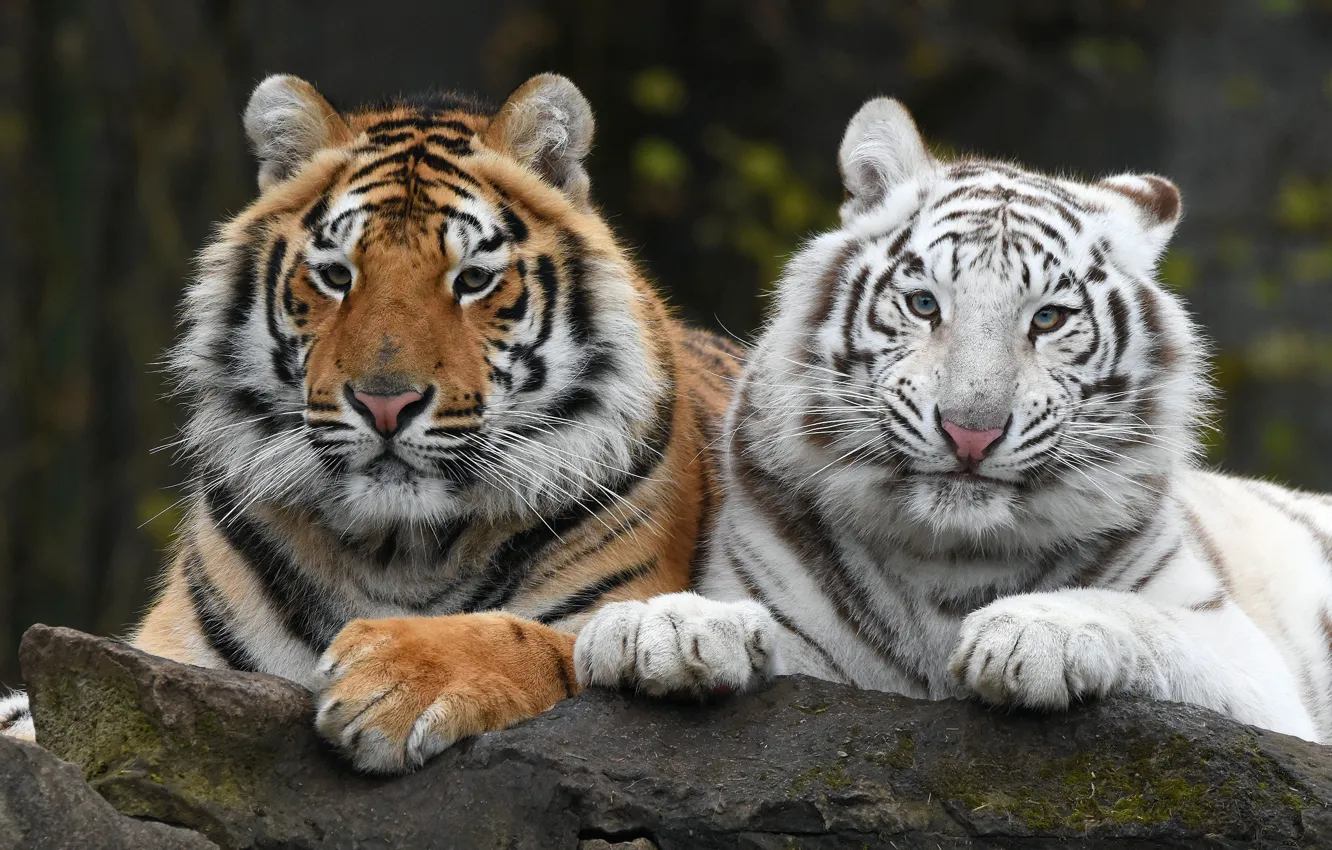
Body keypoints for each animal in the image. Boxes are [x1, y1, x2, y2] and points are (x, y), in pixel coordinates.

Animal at [0, 72, 742, 773]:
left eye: (473, 280)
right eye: (336, 276)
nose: (386, 404)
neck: (398, 550)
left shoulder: (625, 604)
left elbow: (540, 643)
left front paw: (392, 684)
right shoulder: (169, 656)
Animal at [574, 95, 1332, 744]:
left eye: (1048, 319)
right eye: (923, 304)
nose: (972, 430)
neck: (946, 563)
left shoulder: (1249, 669)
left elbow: (1137, 614)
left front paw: (1028, 635)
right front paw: (663, 628)